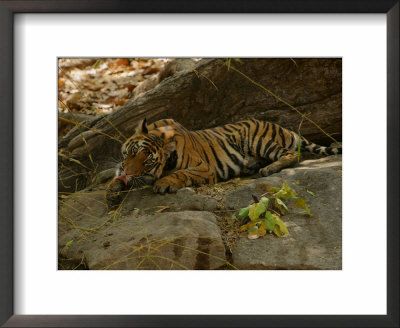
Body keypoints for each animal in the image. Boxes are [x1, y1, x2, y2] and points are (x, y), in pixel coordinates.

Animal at [108, 117, 340, 195]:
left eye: (147, 162)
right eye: (133, 152)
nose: (129, 171)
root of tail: (284, 128)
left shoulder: (204, 168)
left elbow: (181, 174)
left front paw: (164, 183)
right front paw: (114, 184)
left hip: (258, 140)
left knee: (293, 154)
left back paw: (268, 168)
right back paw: (253, 166)